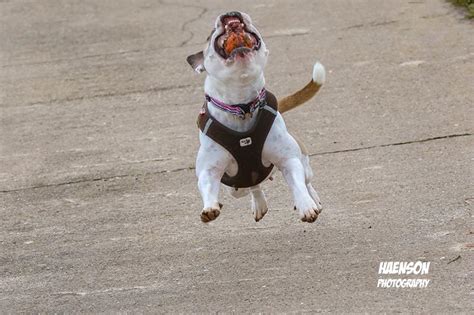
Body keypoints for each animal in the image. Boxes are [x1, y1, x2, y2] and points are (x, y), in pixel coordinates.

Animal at [187, 11, 324, 223]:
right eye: (210, 35)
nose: (230, 13)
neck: (242, 106)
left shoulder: (288, 159)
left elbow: (297, 183)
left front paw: (306, 205)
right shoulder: (208, 169)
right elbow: (208, 186)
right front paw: (210, 208)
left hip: (304, 162)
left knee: (306, 181)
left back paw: (313, 199)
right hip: (236, 188)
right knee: (252, 186)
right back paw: (259, 204)